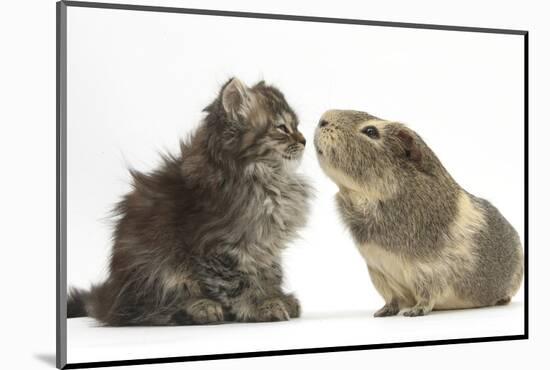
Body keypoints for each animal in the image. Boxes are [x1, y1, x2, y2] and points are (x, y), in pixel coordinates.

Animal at [67, 77, 312, 324]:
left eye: (297, 126)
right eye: (282, 128)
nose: (304, 140)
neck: (266, 178)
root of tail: (109, 299)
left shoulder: (264, 247)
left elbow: (270, 275)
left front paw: (277, 297)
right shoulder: (217, 247)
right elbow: (239, 284)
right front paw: (260, 305)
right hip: (156, 273)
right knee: (152, 310)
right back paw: (202, 307)